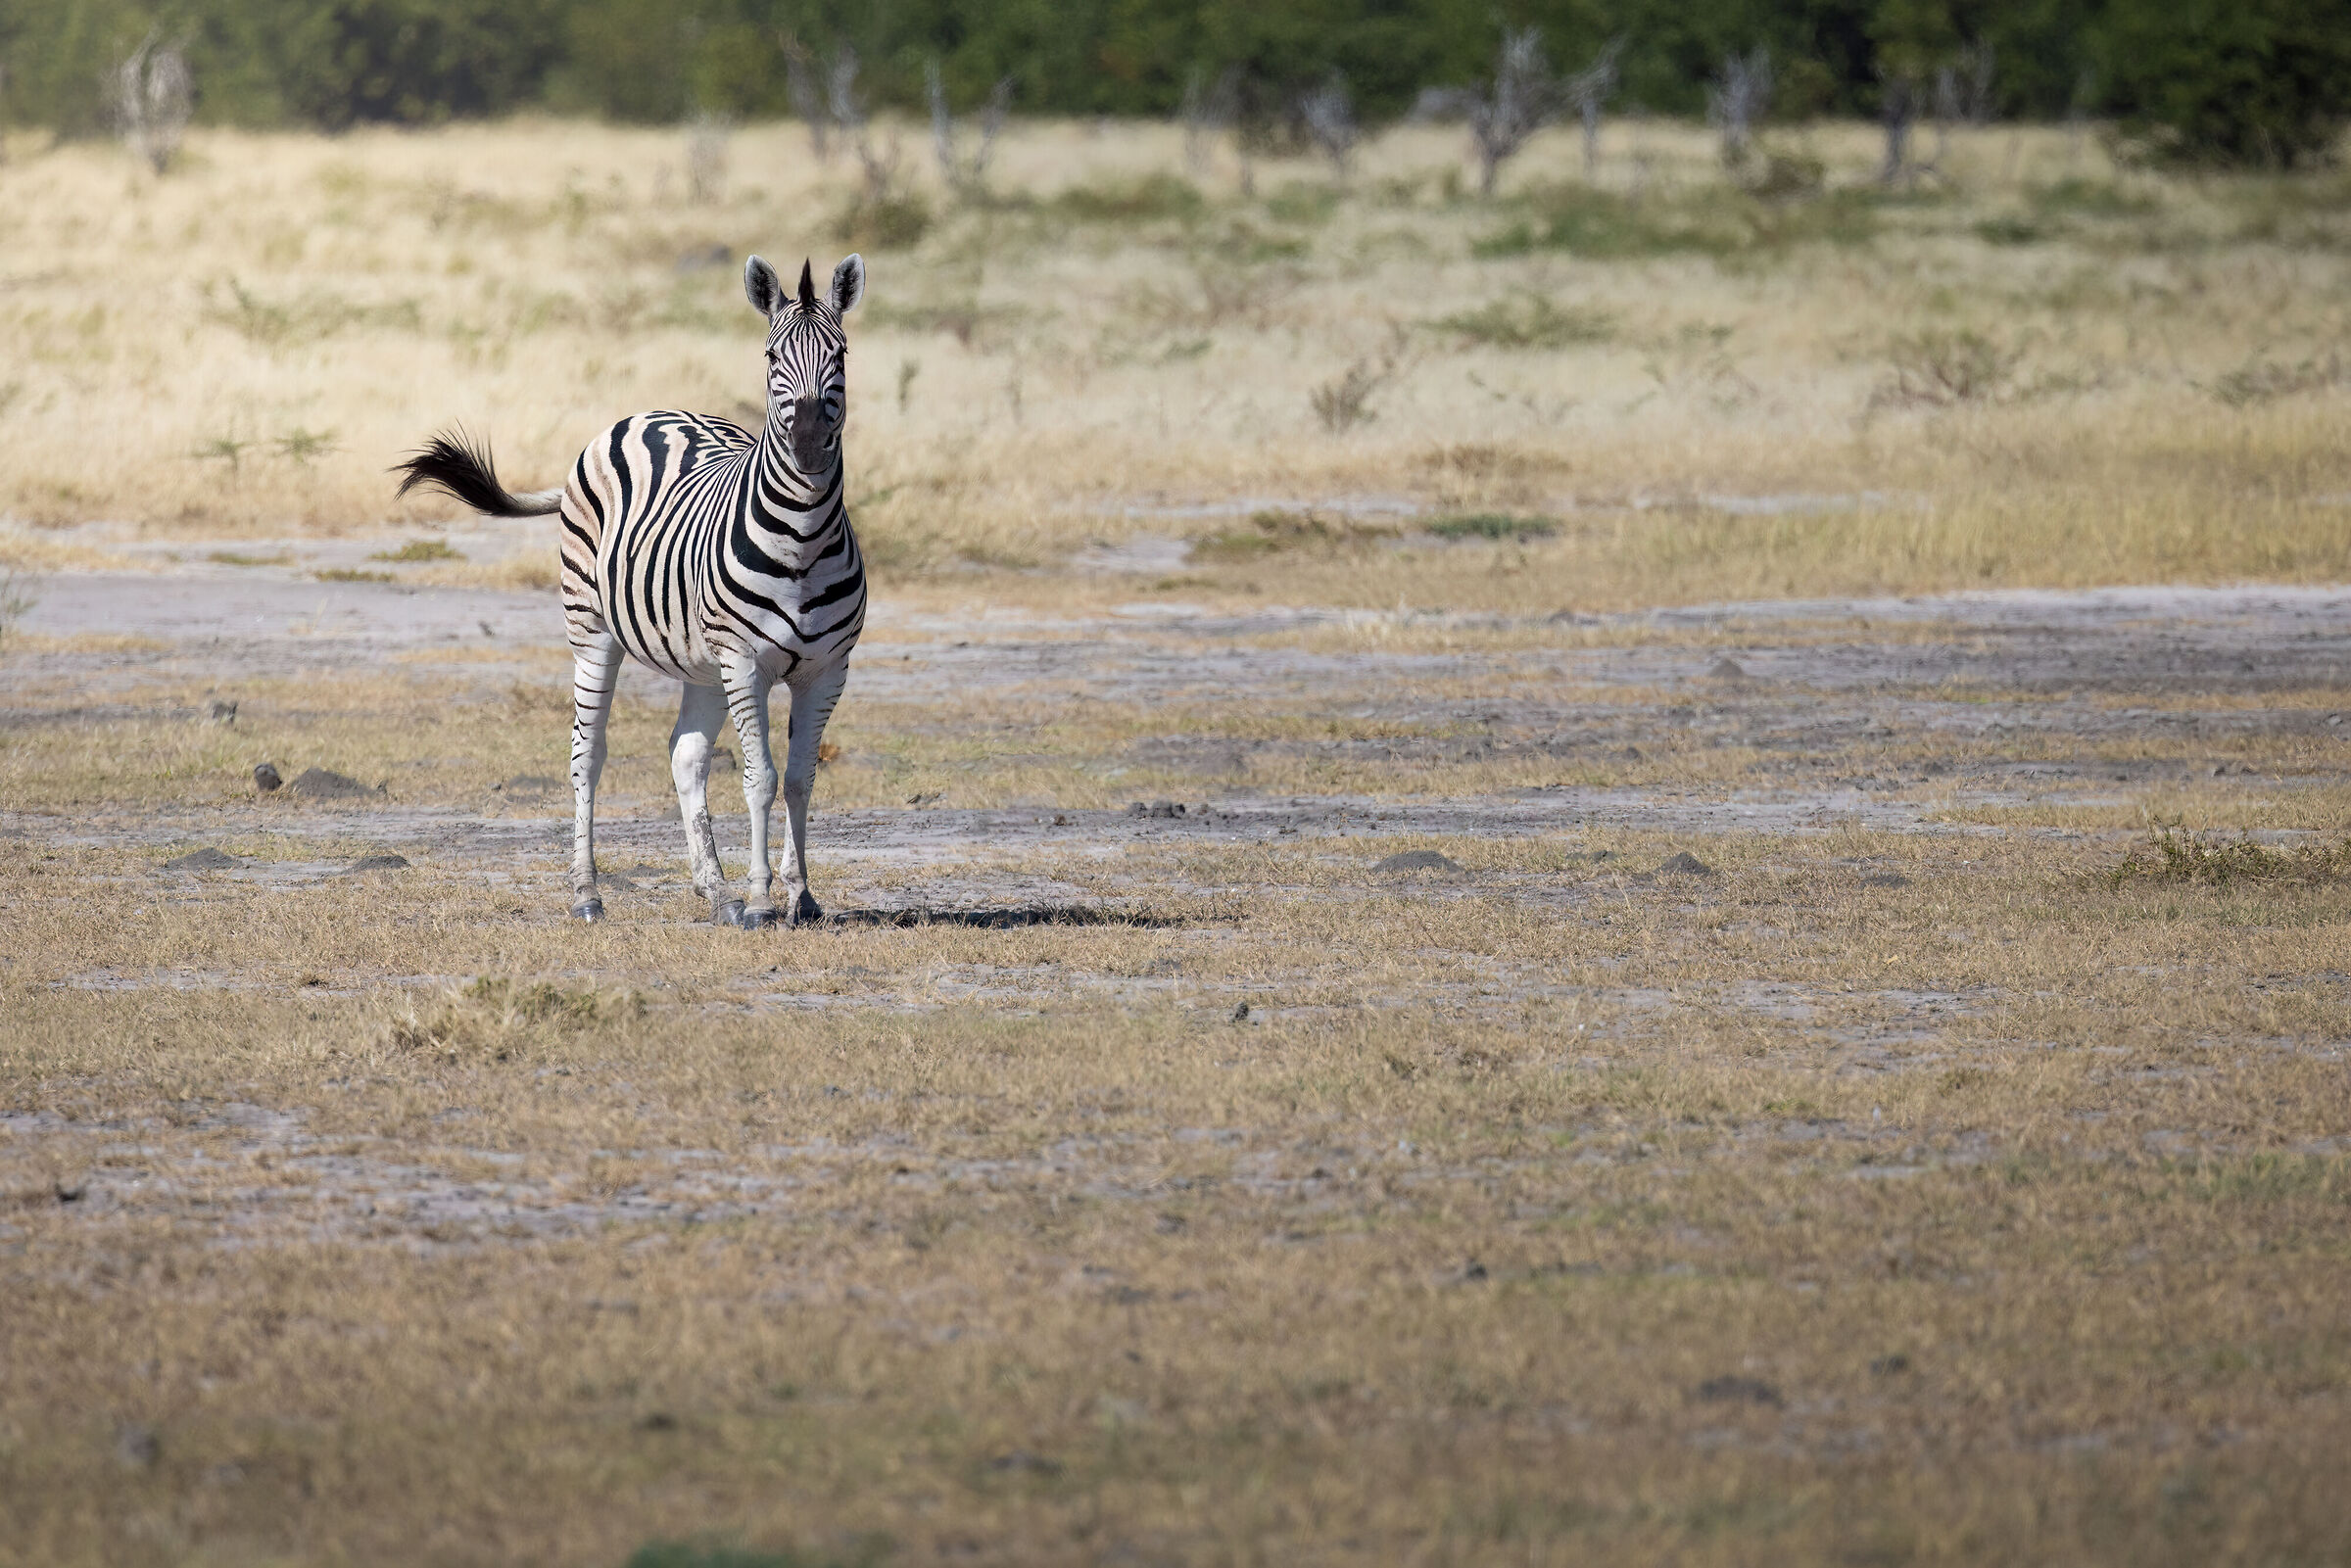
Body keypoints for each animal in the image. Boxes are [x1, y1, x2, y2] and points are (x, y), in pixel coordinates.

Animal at [394, 253, 868, 929]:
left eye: (842, 354)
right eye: (772, 356)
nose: (805, 446)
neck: (802, 539)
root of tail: (646, 414)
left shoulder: (827, 670)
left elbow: (802, 779)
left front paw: (799, 895)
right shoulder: (746, 661)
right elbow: (762, 778)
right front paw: (759, 900)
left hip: (704, 662)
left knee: (686, 755)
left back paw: (713, 890)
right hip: (594, 632)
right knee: (587, 755)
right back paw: (588, 893)